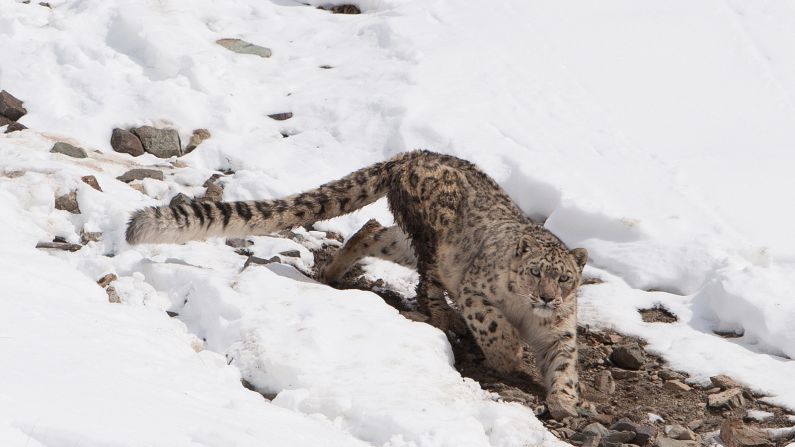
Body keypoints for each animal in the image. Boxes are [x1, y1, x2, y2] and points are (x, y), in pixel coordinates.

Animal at [127, 151, 588, 420]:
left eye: (564, 278)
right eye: (535, 272)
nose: (547, 297)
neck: (527, 313)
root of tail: (413, 153)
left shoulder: (559, 329)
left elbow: (564, 361)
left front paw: (565, 400)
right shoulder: (478, 292)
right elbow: (493, 325)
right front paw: (508, 354)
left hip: (407, 239)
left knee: (373, 231)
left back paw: (334, 271)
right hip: (435, 237)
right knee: (427, 281)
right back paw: (443, 317)